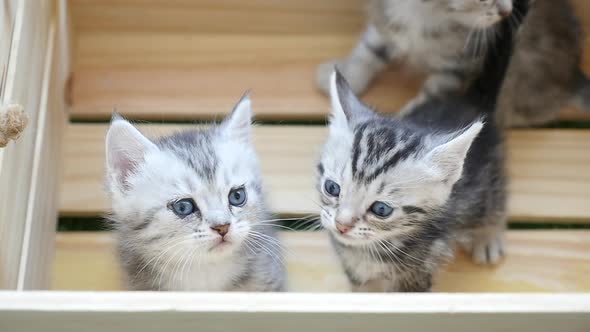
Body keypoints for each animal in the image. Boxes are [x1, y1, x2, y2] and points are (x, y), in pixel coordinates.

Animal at [316, 0, 528, 290]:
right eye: (332, 188)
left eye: (381, 209)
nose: (341, 225)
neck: (368, 250)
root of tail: (470, 101)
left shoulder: (417, 274)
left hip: (488, 176)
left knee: (495, 198)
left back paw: (488, 235)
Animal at [320, 0, 590, 127]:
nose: (507, 11)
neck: (424, 15)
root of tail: (573, 74)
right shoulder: (387, 20)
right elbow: (370, 48)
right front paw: (341, 74)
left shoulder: (460, 66)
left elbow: (432, 95)